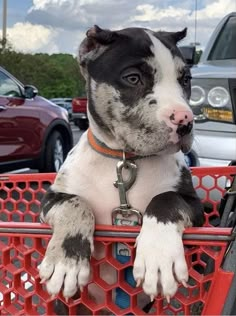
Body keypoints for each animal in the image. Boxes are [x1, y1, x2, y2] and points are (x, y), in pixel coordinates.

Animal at [39, 25, 204, 306]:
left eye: (185, 79)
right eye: (133, 78)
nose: (185, 121)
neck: (125, 158)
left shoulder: (196, 207)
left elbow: (166, 198)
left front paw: (159, 256)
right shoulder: (51, 198)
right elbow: (76, 203)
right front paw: (66, 260)